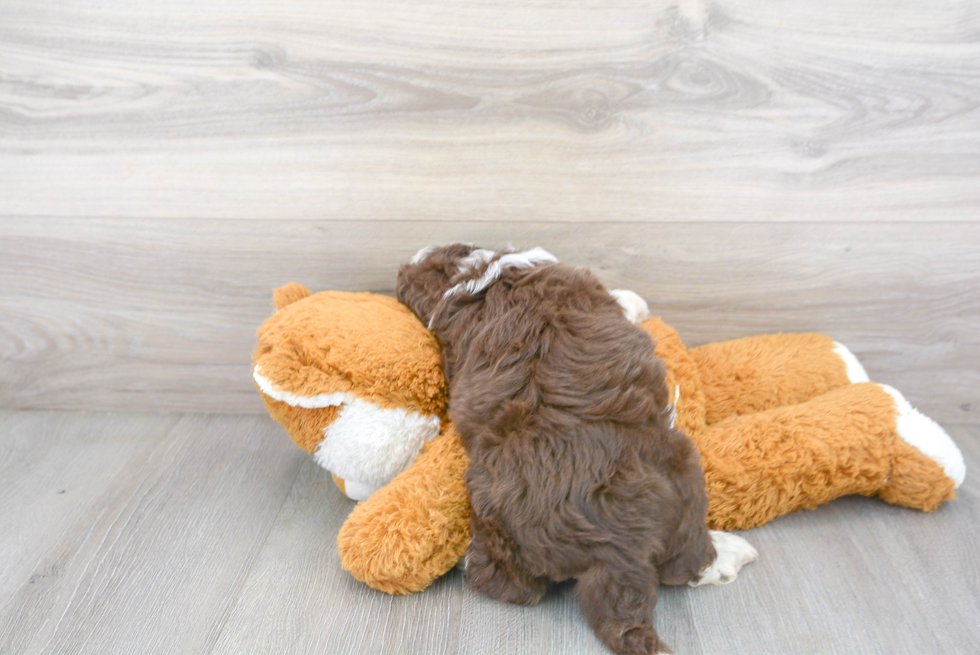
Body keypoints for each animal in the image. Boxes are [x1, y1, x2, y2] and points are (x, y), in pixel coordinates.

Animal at [394, 246, 756, 655]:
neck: (478, 275)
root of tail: (612, 552)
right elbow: (625, 299)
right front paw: (638, 302)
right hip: (683, 474)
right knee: (686, 562)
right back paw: (729, 552)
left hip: (493, 513)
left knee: (507, 585)